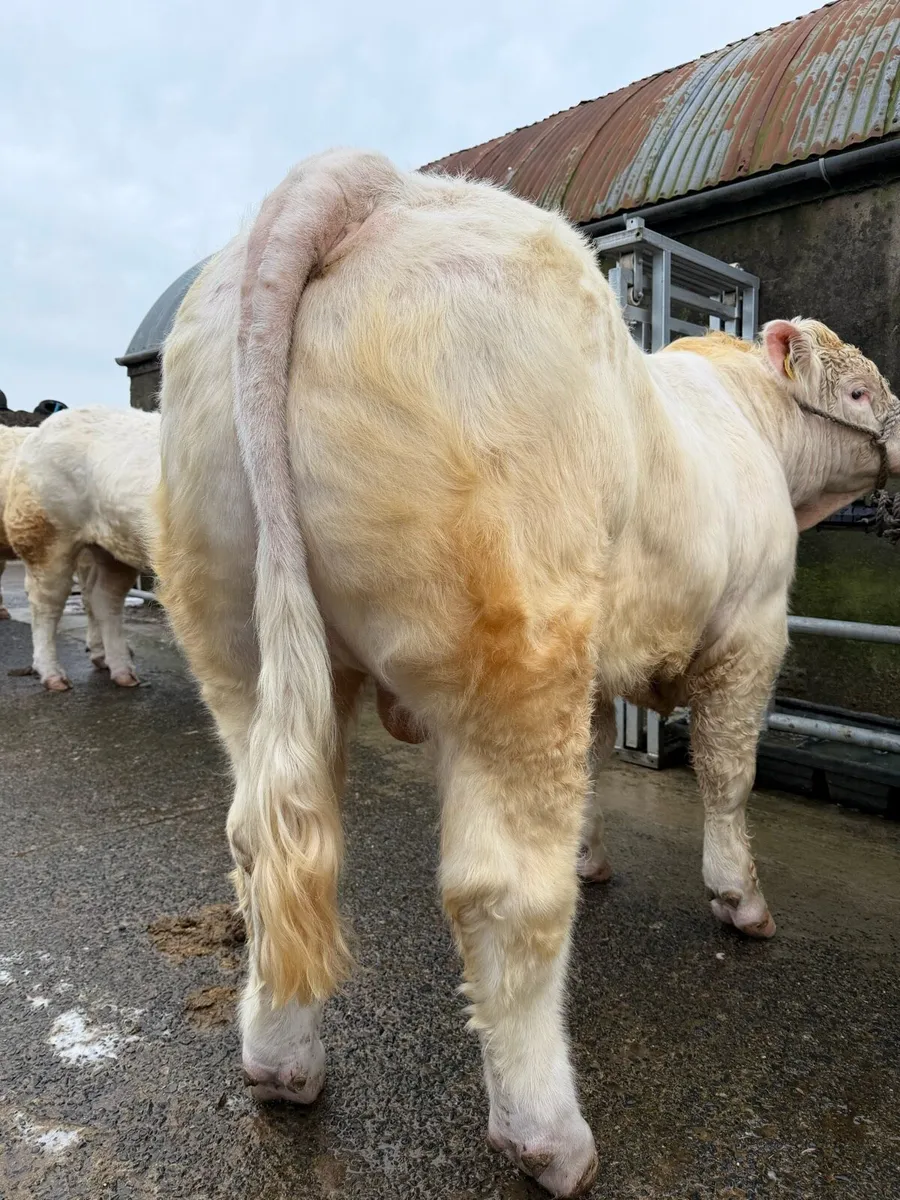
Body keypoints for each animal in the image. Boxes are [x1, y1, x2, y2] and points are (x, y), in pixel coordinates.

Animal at [4, 407, 160, 690]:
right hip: (46, 533)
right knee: (45, 603)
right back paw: (55, 678)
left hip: (114, 547)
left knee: (105, 598)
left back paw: (123, 674)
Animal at [153, 149, 900, 1197]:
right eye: (865, 394)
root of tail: (367, 182)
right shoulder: (751, 629)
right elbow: (726, 773)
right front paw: (738, 897)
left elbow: (598, 757)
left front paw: (593, 854)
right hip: (517, 641)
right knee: (501, 892)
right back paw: (548, 1136)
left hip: (239, 640)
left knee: (264, 843)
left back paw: (281, 1064)